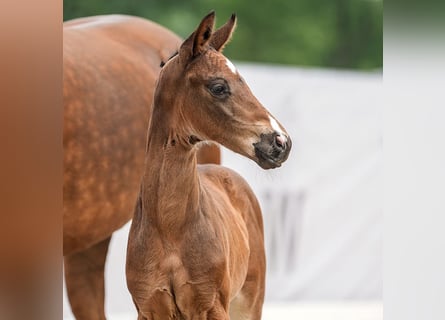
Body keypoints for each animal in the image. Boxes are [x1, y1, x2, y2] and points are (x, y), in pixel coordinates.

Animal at [125, 11, 292, 318]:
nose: (281, 142)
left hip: (249, 302)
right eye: (218, 87)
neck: (170, 229)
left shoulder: (212, 305)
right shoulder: (149, 307)